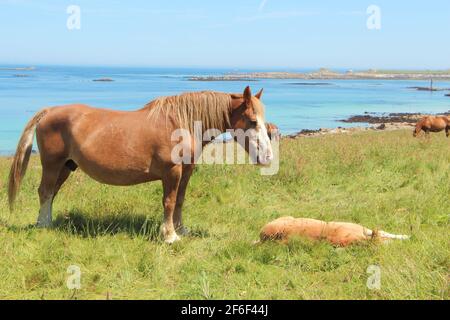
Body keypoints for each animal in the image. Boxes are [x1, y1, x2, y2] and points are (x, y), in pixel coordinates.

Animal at [8, 86, 272, 244]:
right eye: (252, 120)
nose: (268, 157)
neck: (180, 122)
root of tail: (49, 111)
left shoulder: (186, 172)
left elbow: (179, 201)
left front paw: (181, 230)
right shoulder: (172, 172)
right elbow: (169, 202)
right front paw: (169, 236)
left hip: (66, 166)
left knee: (51, 193)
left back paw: (47, 222)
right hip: (52, 165)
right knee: (45, 191)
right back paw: (43, 225)